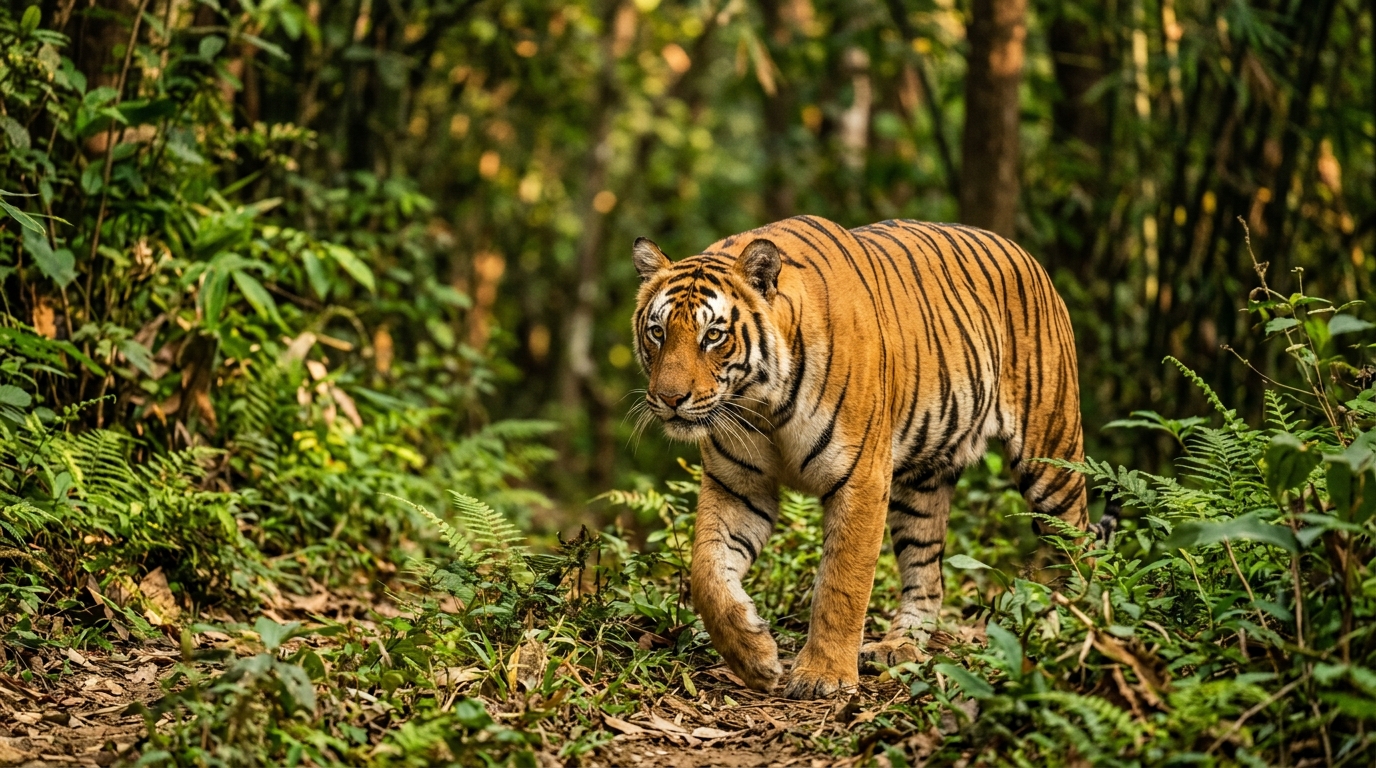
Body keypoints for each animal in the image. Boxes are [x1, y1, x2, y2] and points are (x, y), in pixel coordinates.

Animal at [630, 215, 1106, 700]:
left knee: (1078, 543)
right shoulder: (738, 486)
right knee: (927, 573)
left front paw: (822, 675)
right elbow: (707, 572)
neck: (762, 404)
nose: (669, 399)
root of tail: (1029, 257)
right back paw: (899, 646)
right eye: (658, 332)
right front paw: (754, 656)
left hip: (1051, 456)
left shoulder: (861, 479)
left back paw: (1074, 631)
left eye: (713, 335)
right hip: (922, 484)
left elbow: (842, 582)